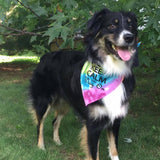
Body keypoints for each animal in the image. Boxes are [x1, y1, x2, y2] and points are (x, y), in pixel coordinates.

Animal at [29, 7, 138, 160]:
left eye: (131, 26)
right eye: (112, 25)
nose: (129, 37)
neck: (111, 72)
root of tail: (45, 56)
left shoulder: (115, 119)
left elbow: (114, 150)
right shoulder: (92, 125)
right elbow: (94, 154)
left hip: (65, 103)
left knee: (54, 121)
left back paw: (57, 141)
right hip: (43, 101)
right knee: (40, 124)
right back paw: (41, 147)